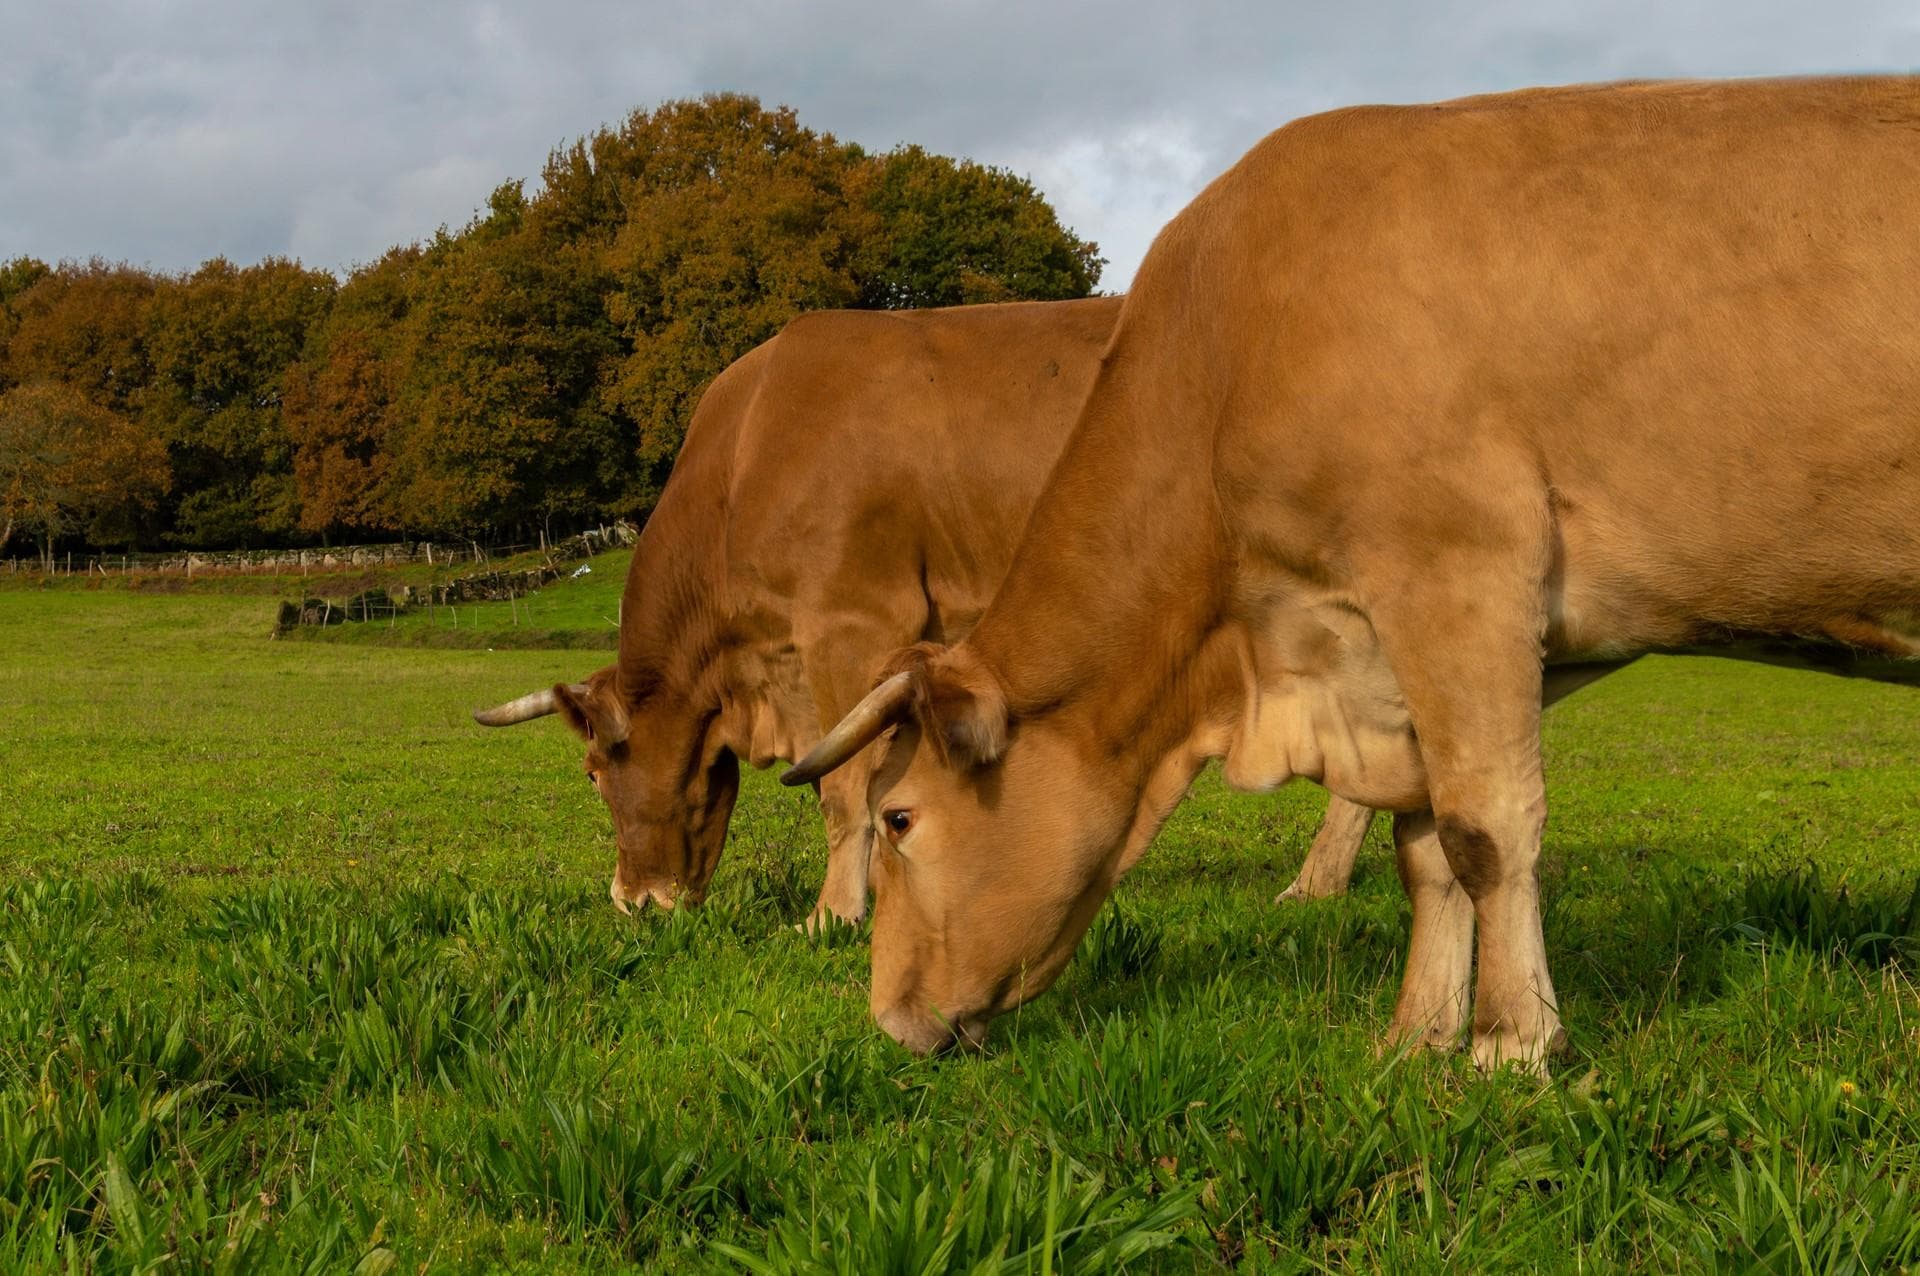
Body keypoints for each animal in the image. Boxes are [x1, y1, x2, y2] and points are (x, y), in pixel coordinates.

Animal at [787, 77, 1920, 1066]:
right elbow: (1424, 849)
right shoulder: (1384, 650)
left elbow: (1484, 827)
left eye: (899, 816)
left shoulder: (1458, 573)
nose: (887, 1016)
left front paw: (1511, 1042)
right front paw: (1416, 1035)